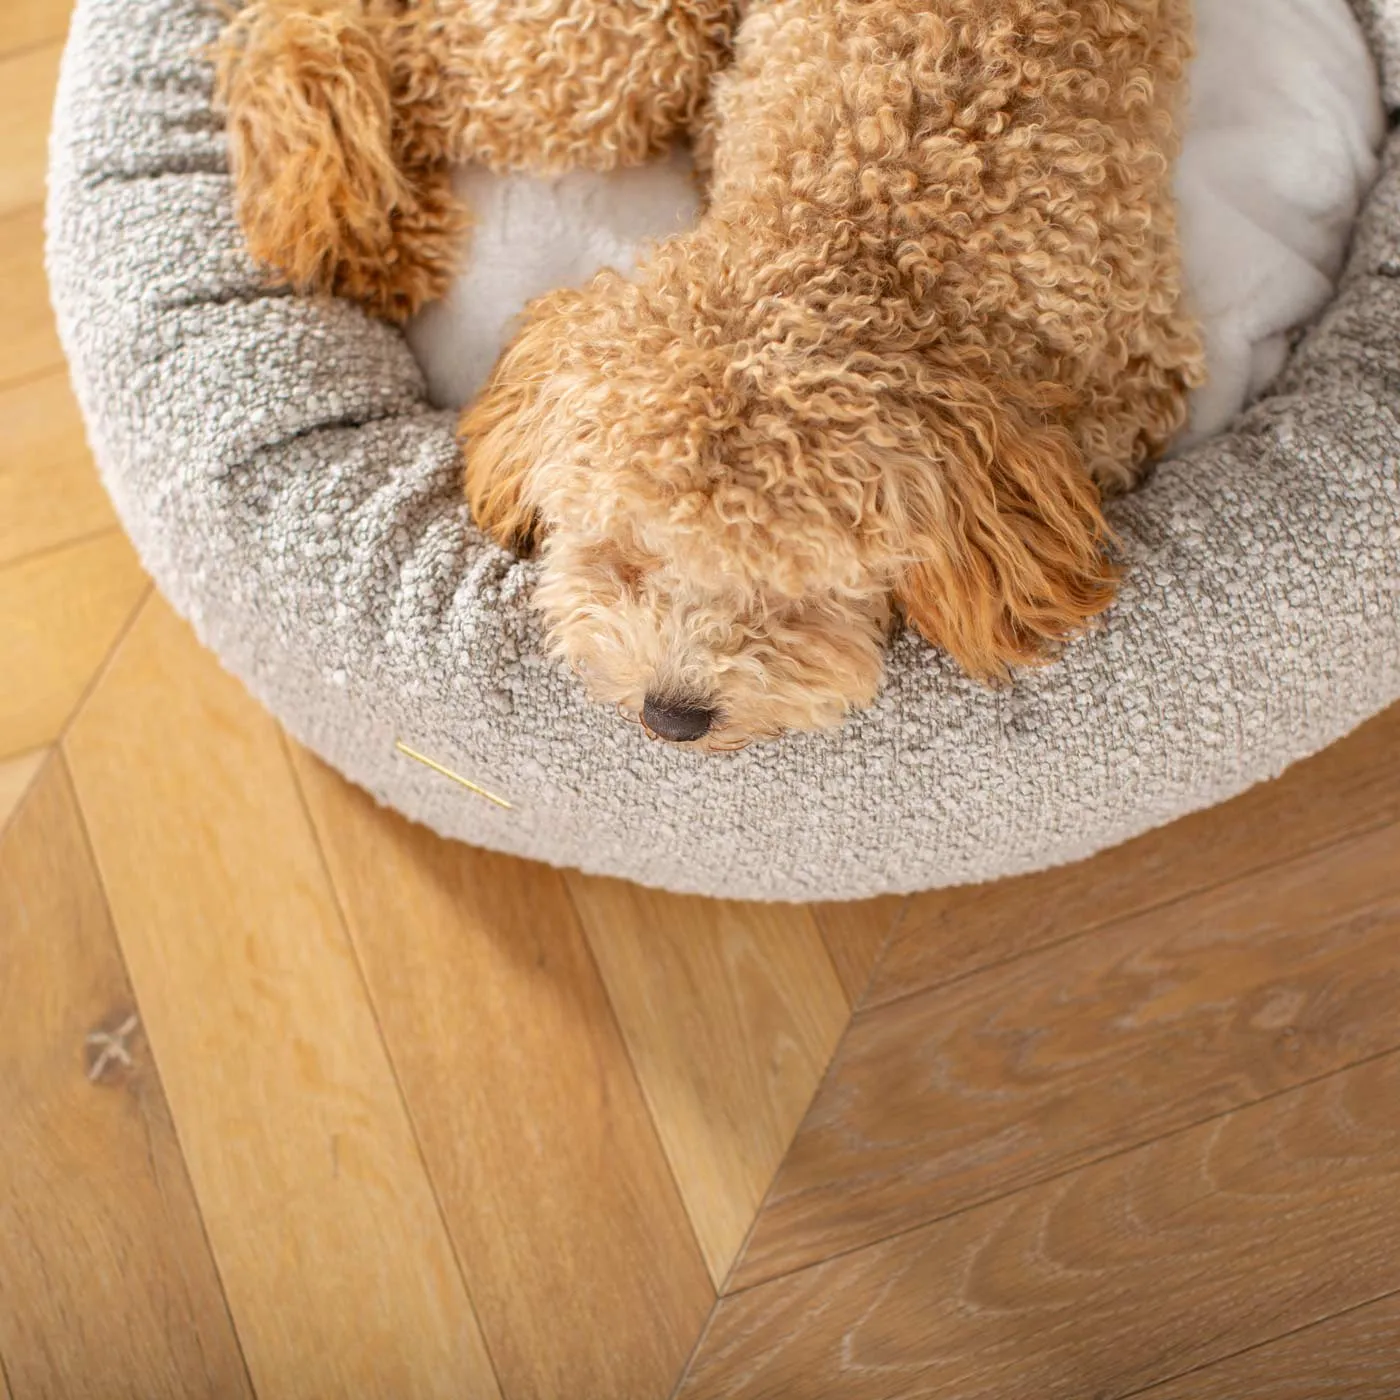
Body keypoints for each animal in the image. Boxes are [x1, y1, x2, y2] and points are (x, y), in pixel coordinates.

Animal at [218, 0, 1204, 750]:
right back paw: (351, 216)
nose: (673, 716)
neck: (868, 225)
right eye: (625, 555)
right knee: (359, 35)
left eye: (798, 589)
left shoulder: (1127, 378)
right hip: (617, 50)